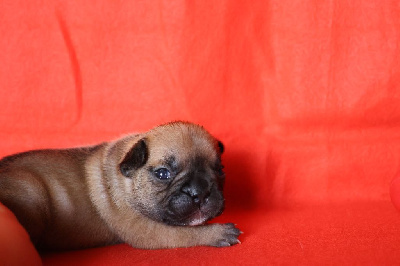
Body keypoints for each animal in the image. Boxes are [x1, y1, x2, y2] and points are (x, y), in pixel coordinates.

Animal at [0, 121, 241, 250]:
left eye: (220, 170)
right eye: (163, 174)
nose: (199, 192)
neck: (127, 182)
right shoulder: (147, 231)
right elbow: (185, 234)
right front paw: (218, 233)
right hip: (32, 192)